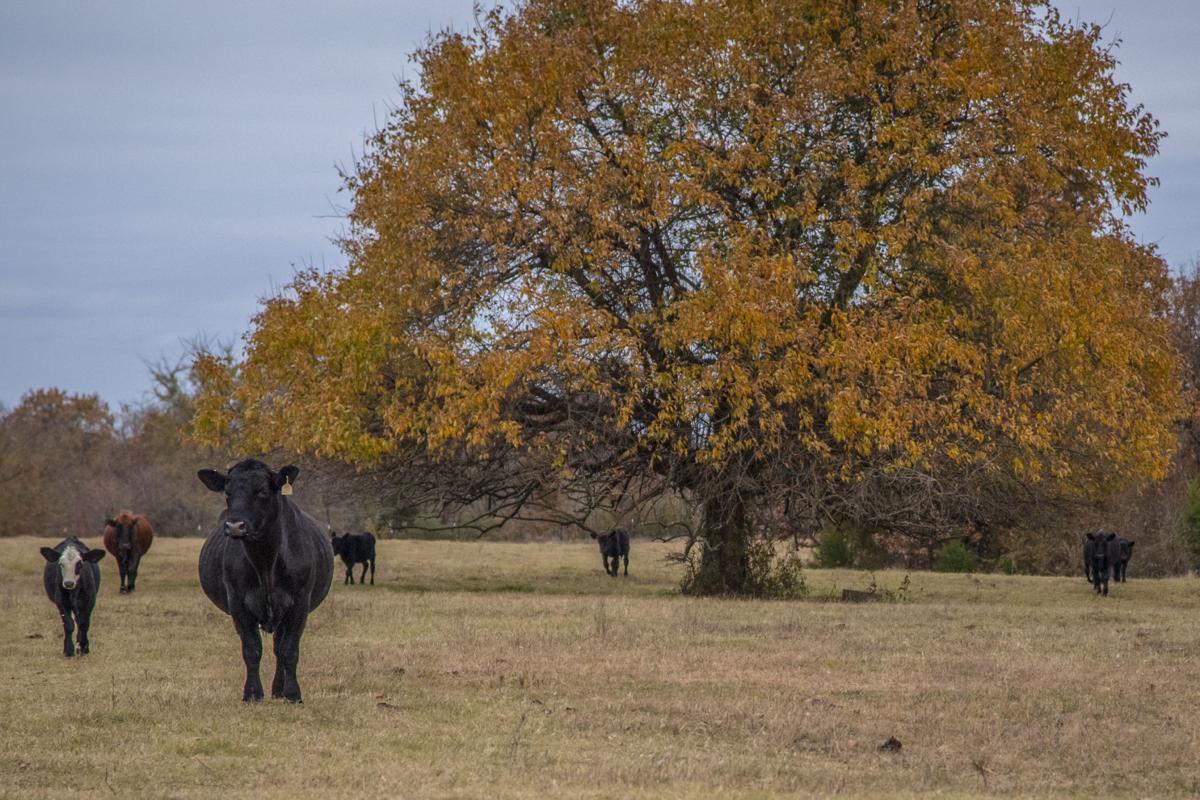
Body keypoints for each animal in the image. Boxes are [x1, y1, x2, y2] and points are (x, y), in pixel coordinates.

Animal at [197, 460, 333, 703]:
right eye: (227, 493)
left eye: (261, 491)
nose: (235, 526)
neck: (265, 561)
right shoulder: (237, 602)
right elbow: (251, 649)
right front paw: (252, 693)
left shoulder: (300, 602)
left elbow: (289, 649)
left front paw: (293, 694)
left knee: (280, 647)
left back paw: (279, 690)